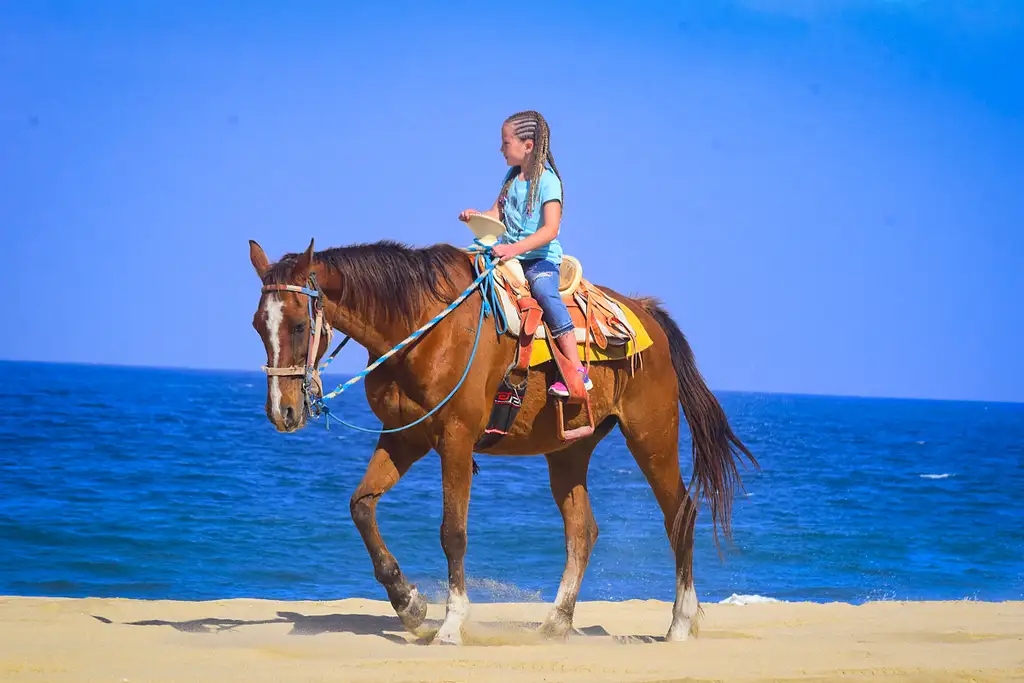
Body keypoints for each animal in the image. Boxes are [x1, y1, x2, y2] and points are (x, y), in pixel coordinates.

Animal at [247, 237, 757, 643]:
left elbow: (452, 532)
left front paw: (451, 625)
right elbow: (361, 506)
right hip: (568, 450)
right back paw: (556, 622)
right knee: (582, 531)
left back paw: (679, 623)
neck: (422, 327)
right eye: (257, 325)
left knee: (680, 515)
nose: (281, 411)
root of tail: (647, 314)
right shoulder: (404, 438)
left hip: (652, 437)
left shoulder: (454, 440)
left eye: (298, 325)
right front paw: (408, 604)